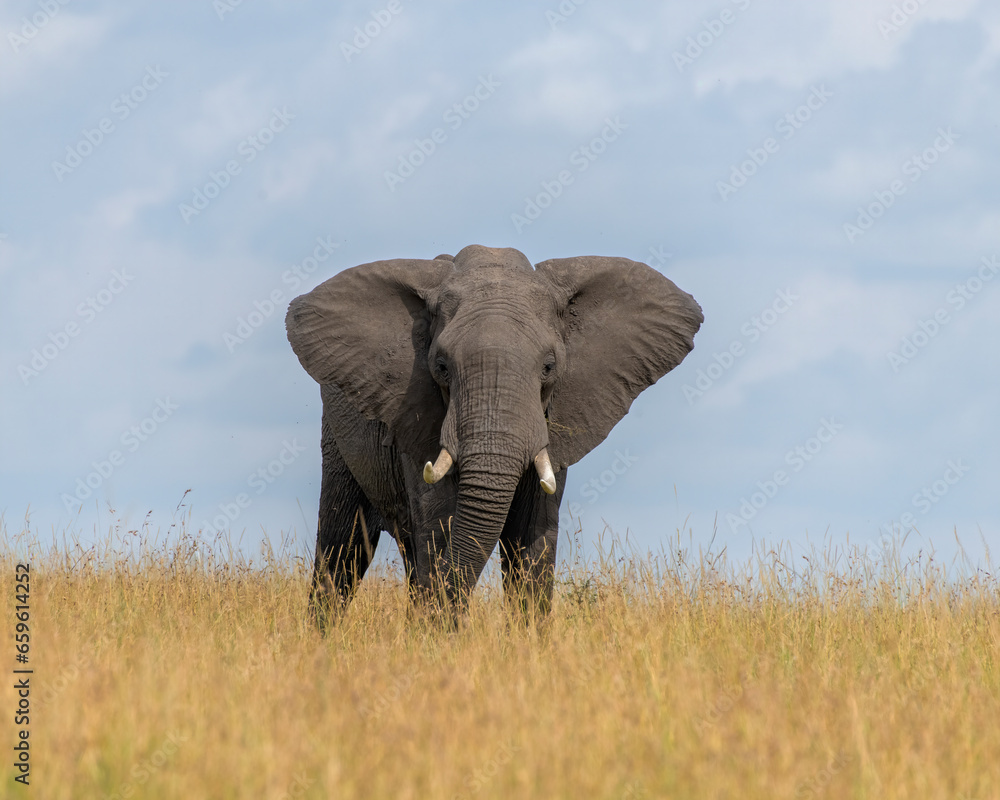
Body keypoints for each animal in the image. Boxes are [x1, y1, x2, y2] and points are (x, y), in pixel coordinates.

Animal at [285, 244, 702, 624]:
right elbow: (440, 529)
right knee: (344, 546)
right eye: (441, 367)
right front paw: (436, 641)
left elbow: (532, 537)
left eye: (549, 367)